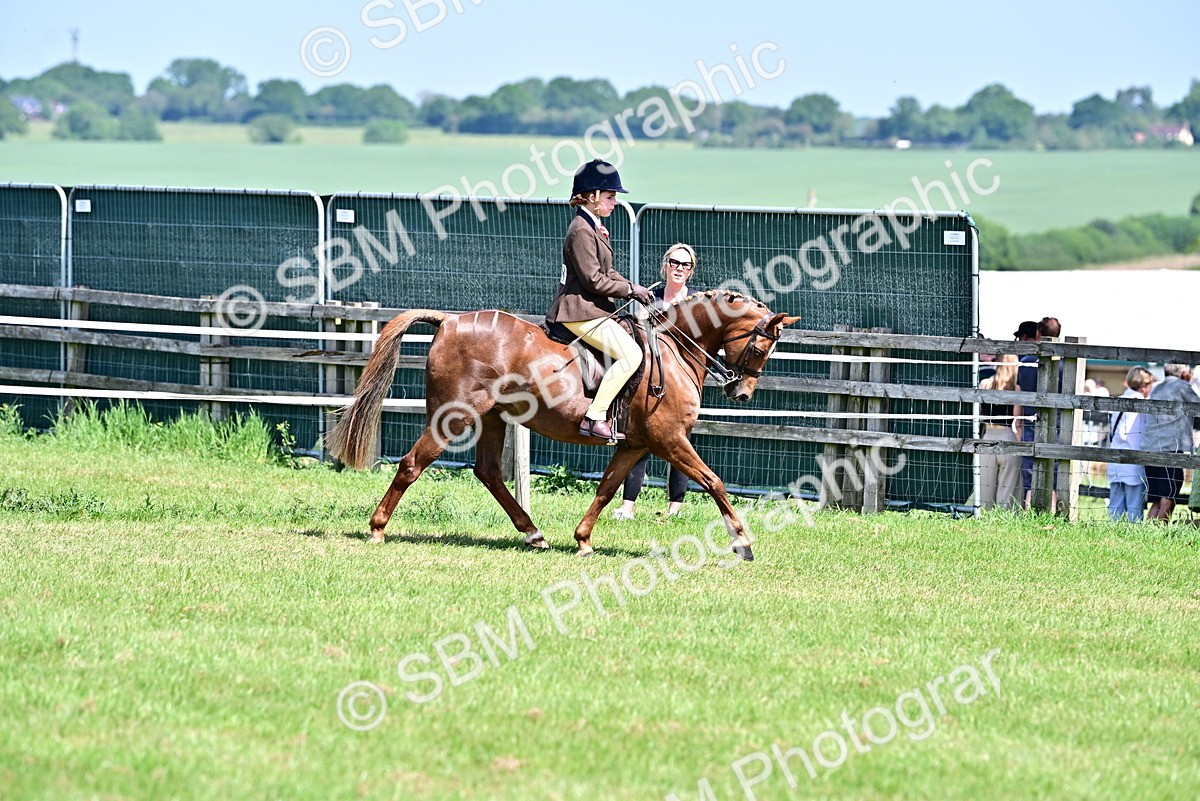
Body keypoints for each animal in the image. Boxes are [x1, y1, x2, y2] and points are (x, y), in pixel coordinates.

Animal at [325, 290, 799, 560]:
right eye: (762, 347)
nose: (742, 394)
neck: (674, 349)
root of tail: (450, 321)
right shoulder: (669, 440)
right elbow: (714, 481)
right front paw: (743, 543)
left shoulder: (635, 445)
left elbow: (607, 488)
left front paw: (583, 540)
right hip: (454, 416)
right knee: (411, 464)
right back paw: (377, 529)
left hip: (493, 418)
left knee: (489, 472)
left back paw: (534, 534)